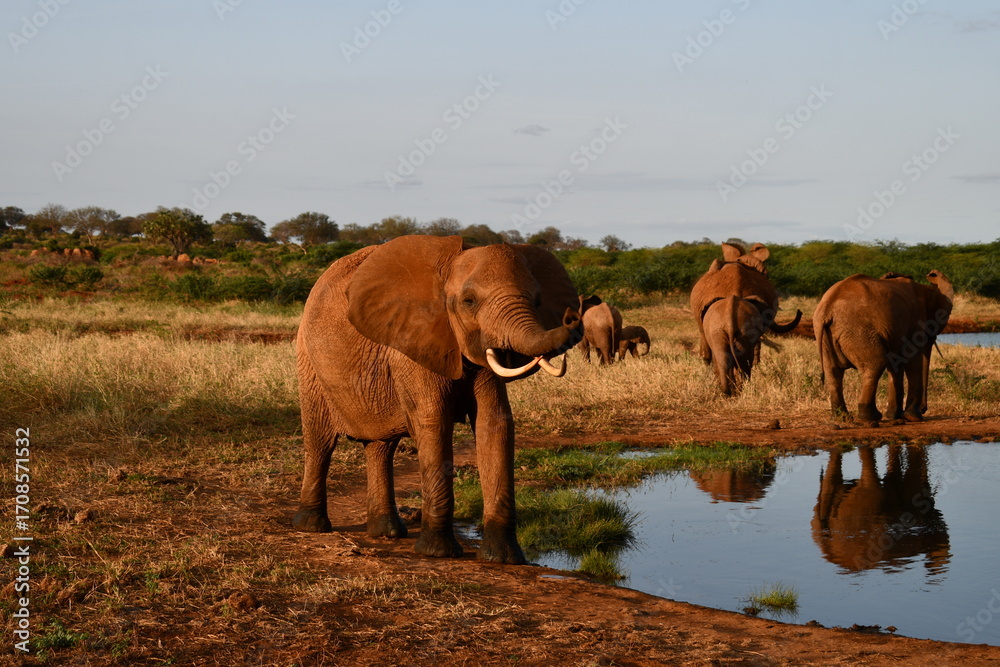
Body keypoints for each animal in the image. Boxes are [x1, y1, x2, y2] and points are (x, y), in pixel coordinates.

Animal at [292, 235, 583, 564]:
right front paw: (438, 553)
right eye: (469, 301)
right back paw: (312, 526)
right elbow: (434, 423)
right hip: (308, 358)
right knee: (320, 441)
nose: (573, 318)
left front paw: (503, 558)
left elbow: (495, 424)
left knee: (381, 447)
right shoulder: (414, 341)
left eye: (537, 301)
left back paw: (387, 532)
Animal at [813, 270, 953, 422]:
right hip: (858, 332)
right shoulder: (917, 320)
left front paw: (894, 417)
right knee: (876, 364)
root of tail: (827, 309)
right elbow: (912, 359)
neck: (925, 288)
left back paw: (842, 418)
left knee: (833, 373)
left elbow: (897, 362)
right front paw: (912, 417)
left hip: (827, 336)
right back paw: (871, 418)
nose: (923, 409)